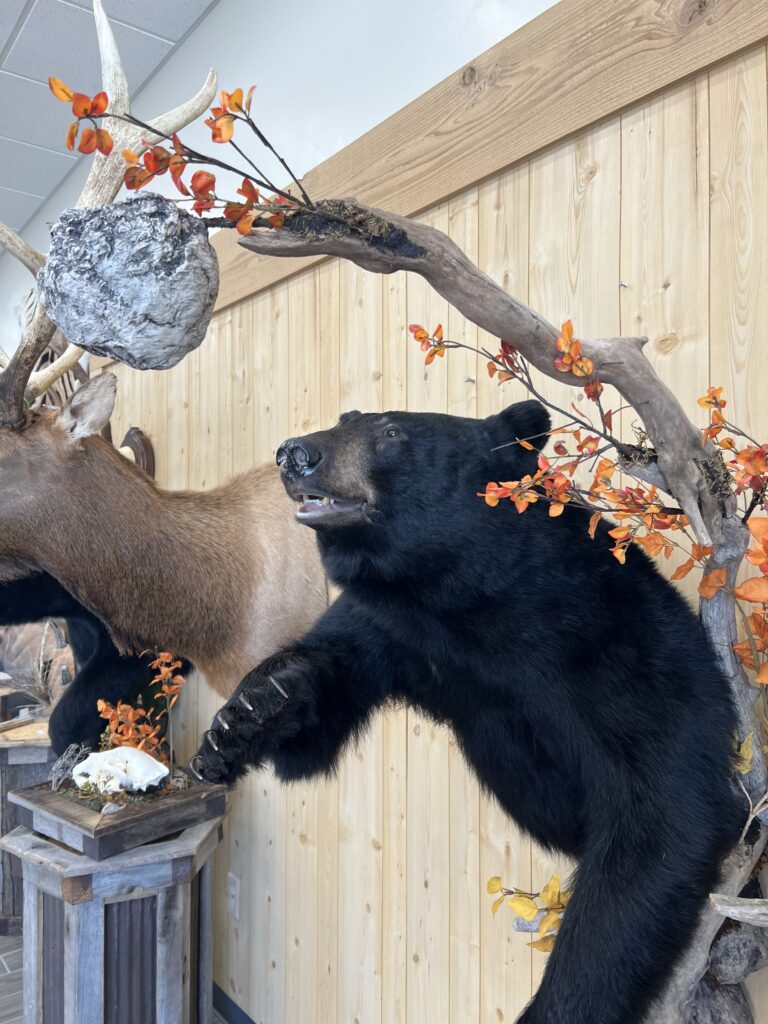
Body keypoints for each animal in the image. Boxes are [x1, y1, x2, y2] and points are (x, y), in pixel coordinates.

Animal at [192, 399, 743, 1024]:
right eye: (343, 418)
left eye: (390, 433)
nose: (295, 453)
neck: (462, 603)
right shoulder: (392, 625)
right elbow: (323, 697)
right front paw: (246, 716)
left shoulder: (612, 641)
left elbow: (662, 807)